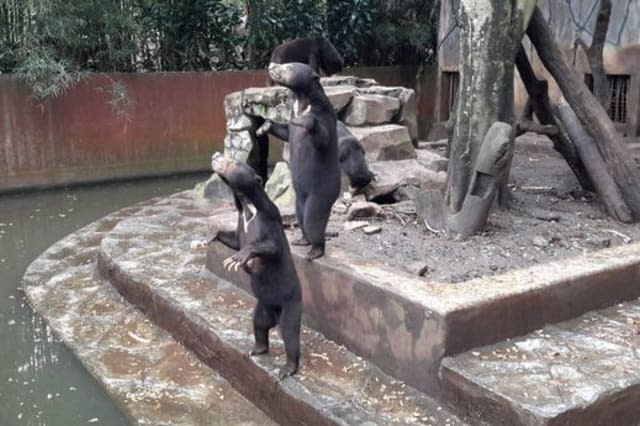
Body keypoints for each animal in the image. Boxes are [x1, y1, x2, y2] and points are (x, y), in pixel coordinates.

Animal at [201, 153, 302, 380]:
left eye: (235, 162)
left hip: (291, 304)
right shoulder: (240, 220)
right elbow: (234, 238)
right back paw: (256, 349)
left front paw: (239, 258)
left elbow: (272, 247)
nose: (215, 155)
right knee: (258, 325)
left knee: (290, 336)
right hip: (262, 308)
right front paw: (205, 239)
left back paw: (286, 369)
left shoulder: (269, 218)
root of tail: (275, 318)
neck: (247, 207)